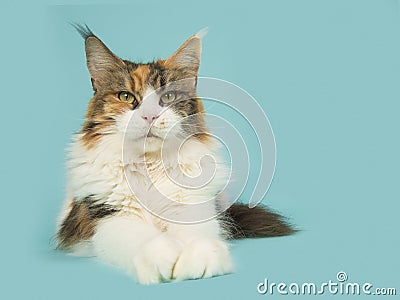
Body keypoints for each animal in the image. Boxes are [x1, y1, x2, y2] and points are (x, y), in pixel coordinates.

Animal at [55, 24, 294, 284]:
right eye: (126, 97)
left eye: (167, 97)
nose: (150, 116)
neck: (149, 166)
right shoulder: (110, 217)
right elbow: (146, 239)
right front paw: (162, 260)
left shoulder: (194, 205)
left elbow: (198, 237)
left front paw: (199, 259)